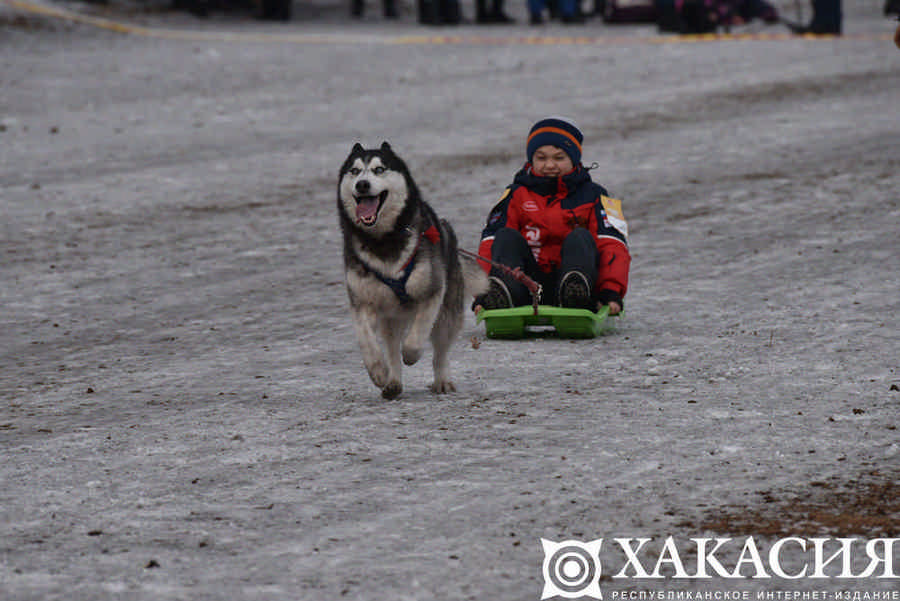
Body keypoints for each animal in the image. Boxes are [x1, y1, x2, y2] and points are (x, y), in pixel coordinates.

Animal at [338, 138, 488, 396]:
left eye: (379, 169)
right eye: (355, 171)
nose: (362, 185)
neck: (383, 241)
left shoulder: (432, 293)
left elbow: (416, 336)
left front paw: (411, 354)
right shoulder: (362, 302)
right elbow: (366, 341)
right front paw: (377, 371)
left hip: (447, 314)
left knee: (440, 352)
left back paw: (442, 380)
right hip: (391, 318)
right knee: (391, 348)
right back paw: (392, 382)